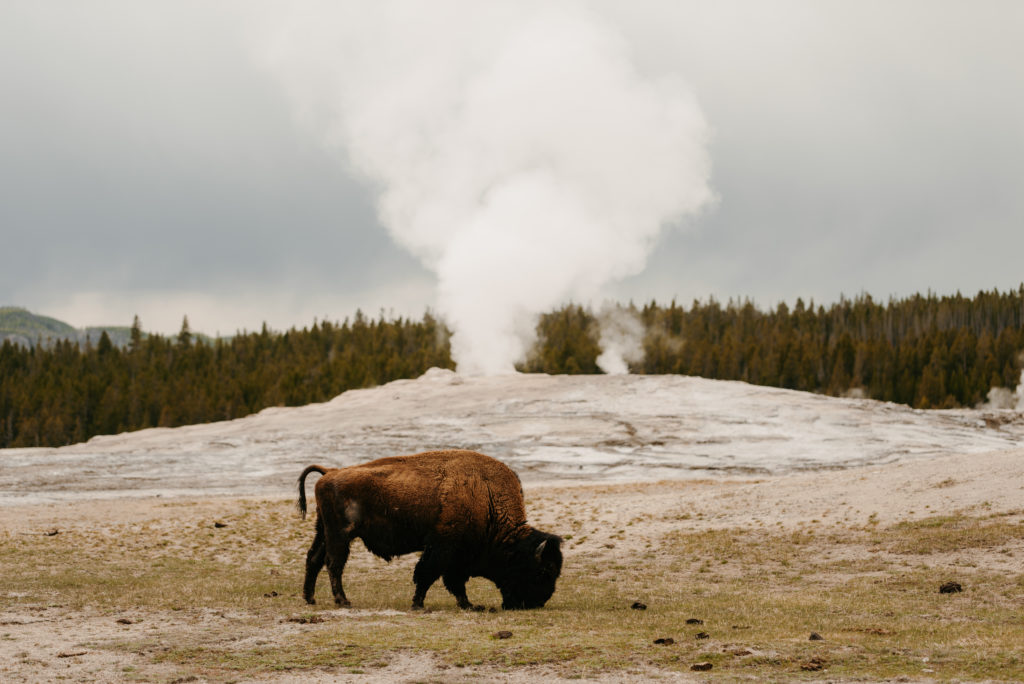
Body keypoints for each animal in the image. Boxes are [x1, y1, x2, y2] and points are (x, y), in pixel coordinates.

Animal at [296, 448, 565, 610]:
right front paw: (418, 604)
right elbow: (429, 574)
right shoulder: (442, 547)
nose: (538, 602)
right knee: (333, 564)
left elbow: (453, 581)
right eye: (544, 571)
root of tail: (330, 473)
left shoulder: (457, 557)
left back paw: (310, 599)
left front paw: (468, 605)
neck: (485, 497)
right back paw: (343, 601)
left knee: (314, 559)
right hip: (340, 535)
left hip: (323, 531)